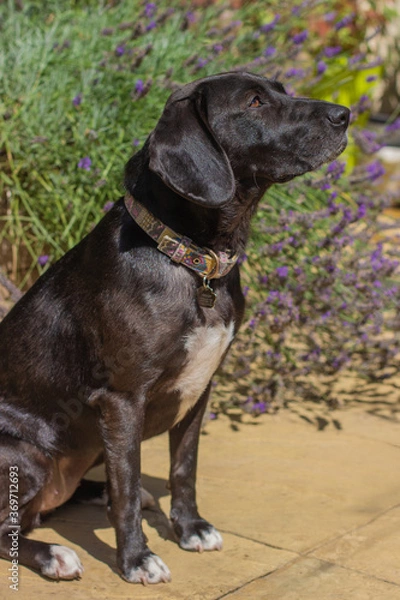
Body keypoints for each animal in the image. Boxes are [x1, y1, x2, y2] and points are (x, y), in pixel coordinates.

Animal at [0, 70, 350, 580]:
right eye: (255, 102)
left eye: (281, 89)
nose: (346, 115)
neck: (193, 260)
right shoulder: (122, 399)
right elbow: (126, 487)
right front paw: (136, 559)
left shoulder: (200, 388)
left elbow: (183, 469)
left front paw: (190, 529)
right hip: (26, 457)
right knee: (11, 528)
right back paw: (53, 555)